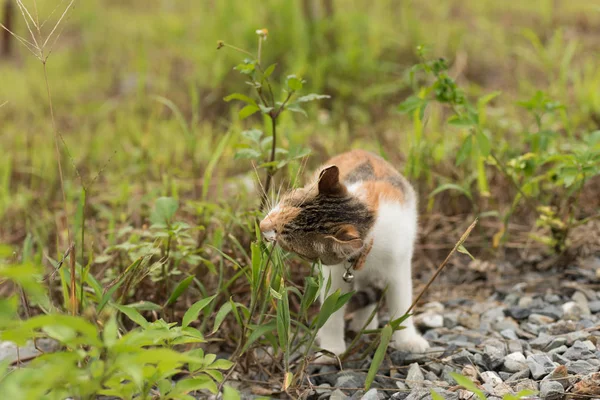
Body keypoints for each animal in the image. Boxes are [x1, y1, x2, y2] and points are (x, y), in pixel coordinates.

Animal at [258, 149, 426, 356]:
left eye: (285, 240)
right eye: (283, 205)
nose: (261, 225)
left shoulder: (398, 263)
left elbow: (401, 302)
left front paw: (408, 340)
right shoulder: (334, 274)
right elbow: (331, 312)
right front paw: (331, 350)